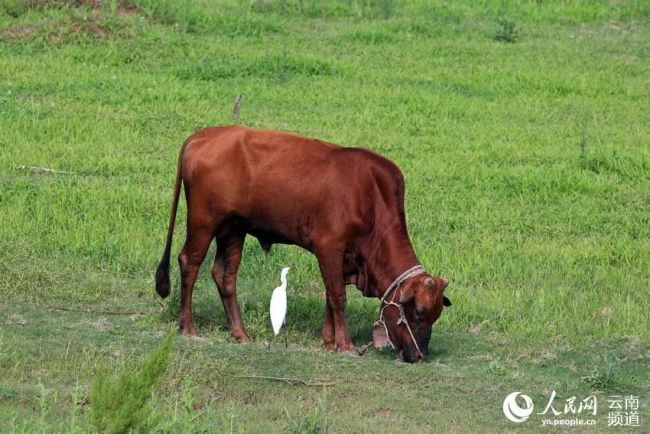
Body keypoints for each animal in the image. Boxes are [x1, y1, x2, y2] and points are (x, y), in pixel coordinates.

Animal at [156, 126, 450, 362]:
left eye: (435, 315)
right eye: (418, 312)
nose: (419, 356)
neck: (370, 194)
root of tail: (202, 135)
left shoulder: (344, 258)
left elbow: (330, 295)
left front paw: (329, 341)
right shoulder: (329, 247)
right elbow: (338, 297)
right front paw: (345, 344)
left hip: (233, 228)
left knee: (225, 276)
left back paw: (240, 334)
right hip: (204, 221)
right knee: (189, 262)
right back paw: (188, 327)